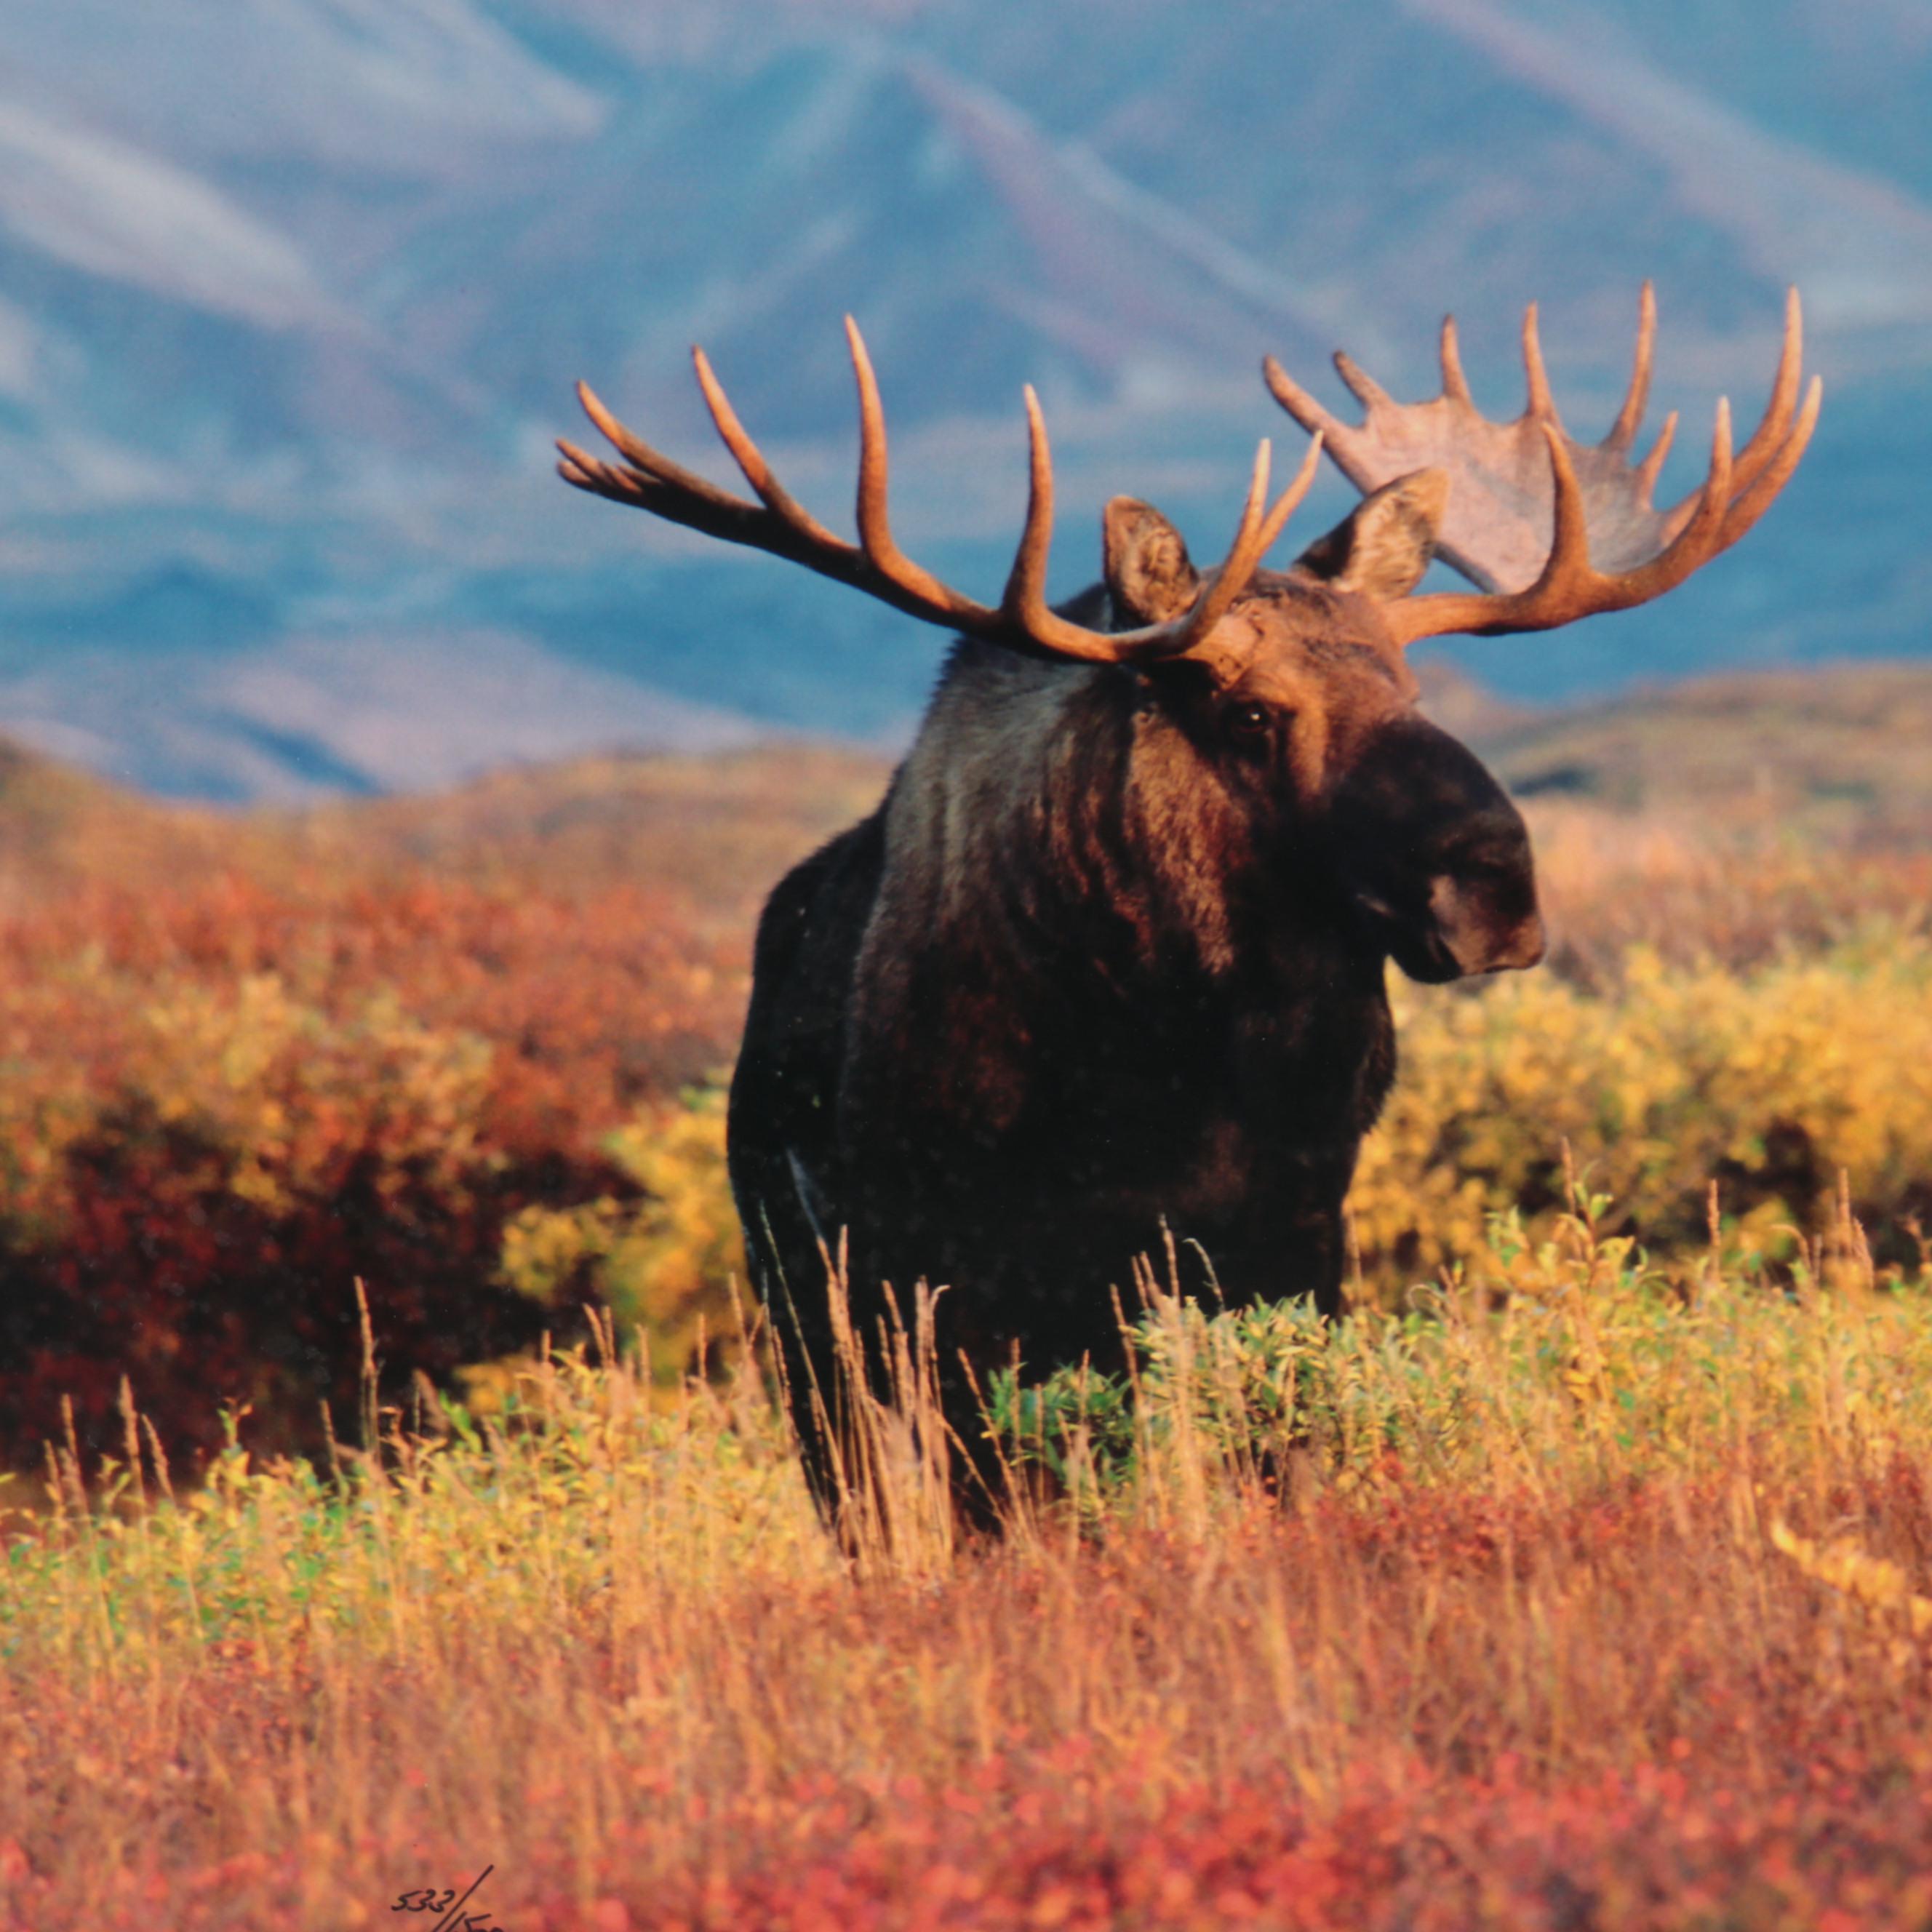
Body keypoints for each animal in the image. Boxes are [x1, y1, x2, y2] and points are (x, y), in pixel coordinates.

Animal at [558, 286, 1818, 1527]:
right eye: (1252, 713)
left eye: (1408, 686)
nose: (1495, 886)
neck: (1177, 1062)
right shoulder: (955, 1270)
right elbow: (1001, 1506)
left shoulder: (1293, 1233)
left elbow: (1282, 1453)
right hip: (803, 1296)